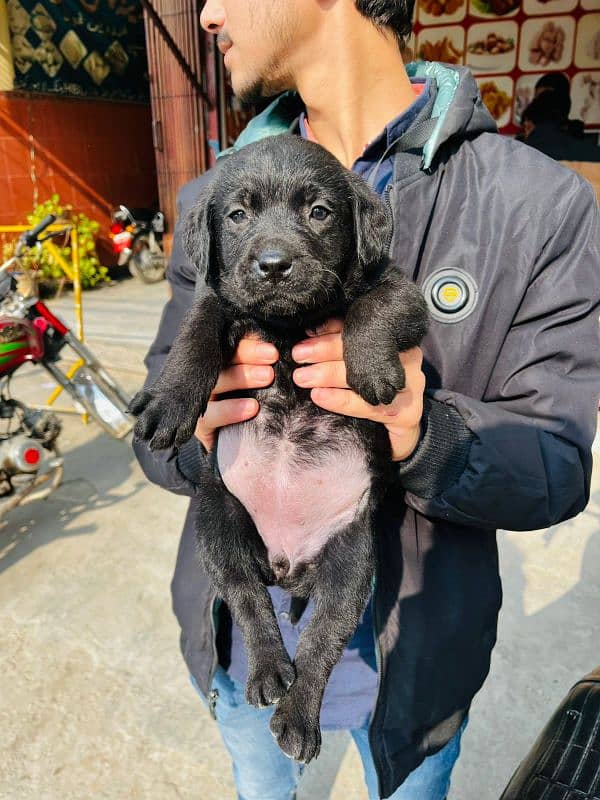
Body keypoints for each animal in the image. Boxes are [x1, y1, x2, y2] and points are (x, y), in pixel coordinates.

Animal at [132, 136, 426, 764]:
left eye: (319, 212)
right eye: (237, 215)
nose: (272, 265)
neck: (290, 323)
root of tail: (288, 567)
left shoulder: (401, 290)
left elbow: (376, 307)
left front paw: (370, 367)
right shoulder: (219, 295)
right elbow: (196, 330)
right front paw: (169, 400)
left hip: (352, 563)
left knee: (320, 643)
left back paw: (296, 718)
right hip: (218, 520)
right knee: (247, 599)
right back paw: (268, 671)